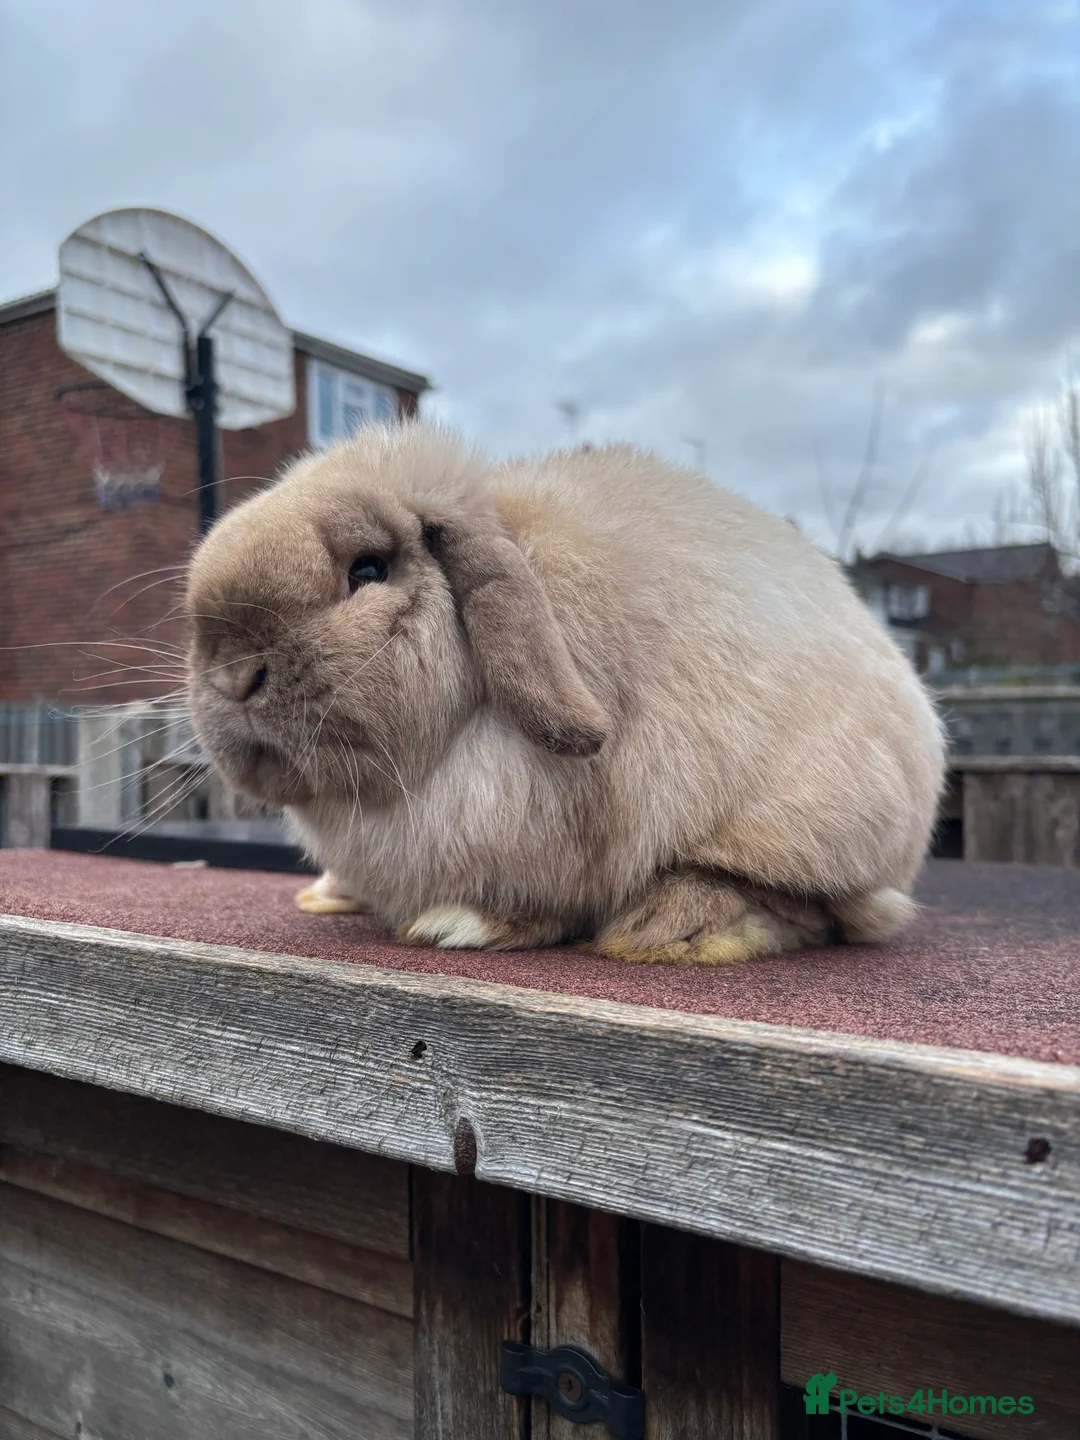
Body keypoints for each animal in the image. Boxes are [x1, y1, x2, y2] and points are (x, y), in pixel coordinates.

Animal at [184, 422, 945, 964]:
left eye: (367, 570)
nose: (232, 675)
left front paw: (460, 924)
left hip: (815, 820)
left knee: (811, 906)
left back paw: (666, 928)